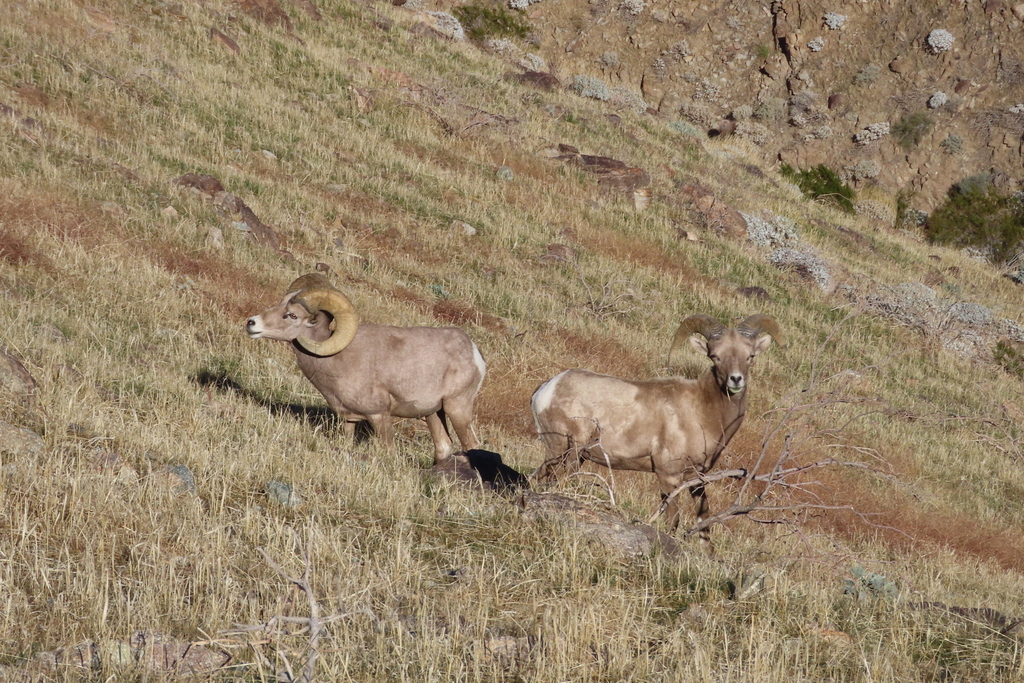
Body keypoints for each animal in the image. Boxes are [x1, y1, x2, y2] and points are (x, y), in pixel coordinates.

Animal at [246, 274, 487, 464]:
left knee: (471, 444)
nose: (251, 323)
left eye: (292, 315)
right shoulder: (347, 419)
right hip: (434, 413)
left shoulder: (378, 415)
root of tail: (474, 353)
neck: (336, 359)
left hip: (456, 408)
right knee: (443, 446)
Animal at [532, 313, 778, 532]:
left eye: (750, 356)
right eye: (715, 356)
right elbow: (673, 522)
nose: (735, 380)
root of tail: (546, 389)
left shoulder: (696, 481)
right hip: (565, 451)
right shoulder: (669, 477)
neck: (702, 413)